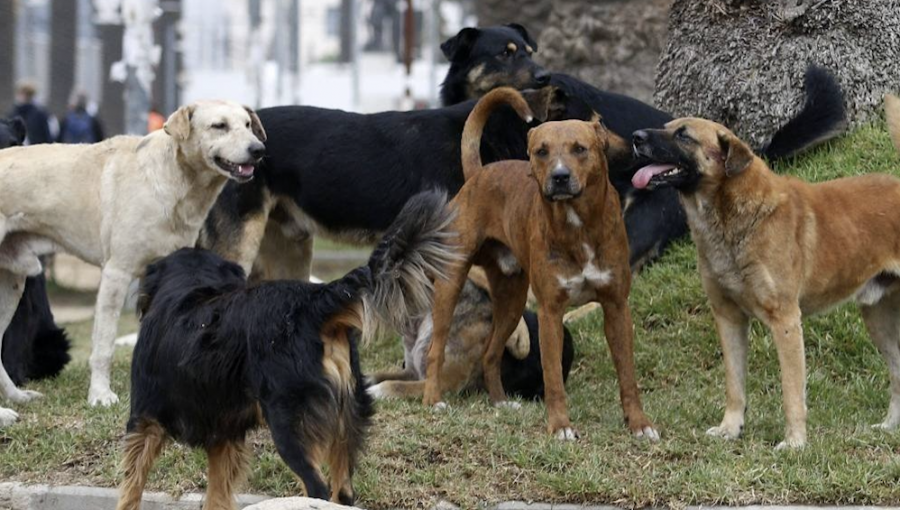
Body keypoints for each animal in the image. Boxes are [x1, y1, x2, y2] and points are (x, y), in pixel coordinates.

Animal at [118, 192, 458, 510]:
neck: (192, 288)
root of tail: (315, 302)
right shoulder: (224, 438)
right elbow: (217, 495)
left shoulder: (144, 421)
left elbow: (132, 486)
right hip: (346, 417)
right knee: (343, 492)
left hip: (290, 425)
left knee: (317, 487)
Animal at [422, 85, 652, 440]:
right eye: (541, 151)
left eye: (580, 149)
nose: (559, 177)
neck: (578, 224)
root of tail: (479, 173)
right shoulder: (550, 312)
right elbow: (553, 376)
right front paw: (560, 427)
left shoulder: (616, 306)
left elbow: (627, 374)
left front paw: (639, 424)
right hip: (451, 284)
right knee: (437, 348)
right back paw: (433, 401)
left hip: (512, 298)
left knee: (491, 353)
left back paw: (500, 402)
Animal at [628, 101, 900, 448]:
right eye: (667, 127)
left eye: (684, 135)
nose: (635, 137)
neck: (734, 218)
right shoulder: (728, 318)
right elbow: (734, 385)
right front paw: (730, 428)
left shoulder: (785, 321)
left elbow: (791, 392)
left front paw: (795, 443)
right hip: (878, 321)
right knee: (898, 372)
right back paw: (890, 425)